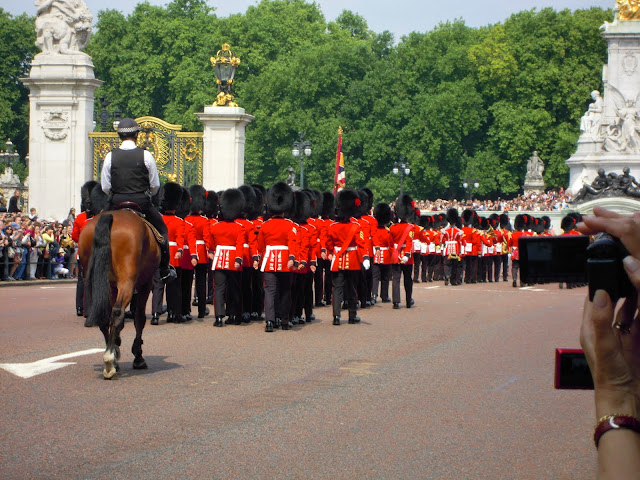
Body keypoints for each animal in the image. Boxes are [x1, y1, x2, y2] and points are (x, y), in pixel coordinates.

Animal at [77, 210, 160, 378]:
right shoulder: (145, 283)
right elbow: (139, 318)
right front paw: (138, 356)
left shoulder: (112, 286)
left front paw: (117, 345)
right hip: (128, 281)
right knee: (117, 312)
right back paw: (109, 360)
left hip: (93, 282)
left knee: (103, 315)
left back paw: (110, 356)